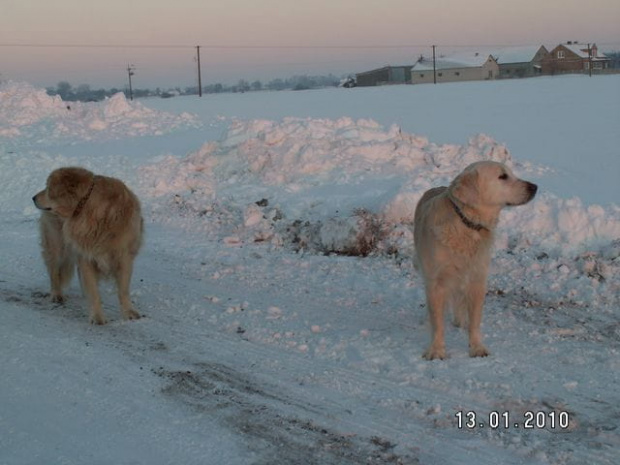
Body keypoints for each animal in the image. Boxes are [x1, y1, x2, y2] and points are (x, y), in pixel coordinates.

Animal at [33, 169, 144, 324]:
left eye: (48, 188)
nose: (33, 198)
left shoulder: (124, 257)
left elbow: (123, 289)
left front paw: (128, 312)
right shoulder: (86, 256)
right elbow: (93, 290)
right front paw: (97, 316)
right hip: (56, 245)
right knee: (54, 271)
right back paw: (56, 294)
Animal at [414, 160, 536, 358]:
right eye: (502, 176)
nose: (535, 187)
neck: (465, 223)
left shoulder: (477, 278)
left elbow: (475, 320)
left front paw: (476, 347)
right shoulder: (436, 281)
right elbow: (437, 321)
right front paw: (437, 349)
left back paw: (460, 320)